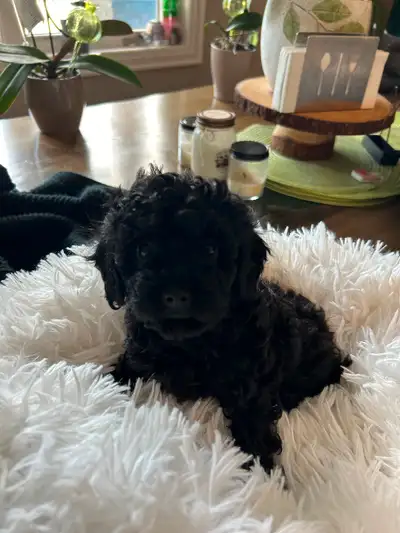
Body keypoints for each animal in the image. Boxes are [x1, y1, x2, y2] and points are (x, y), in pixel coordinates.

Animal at [94, 168, 350, 472]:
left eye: (210, 250)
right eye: (143, 249)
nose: (176, 295)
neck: (190, 343)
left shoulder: (252, 384)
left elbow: (253, 421)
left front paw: (261, 473)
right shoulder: (139, 352)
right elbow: (125, 371)